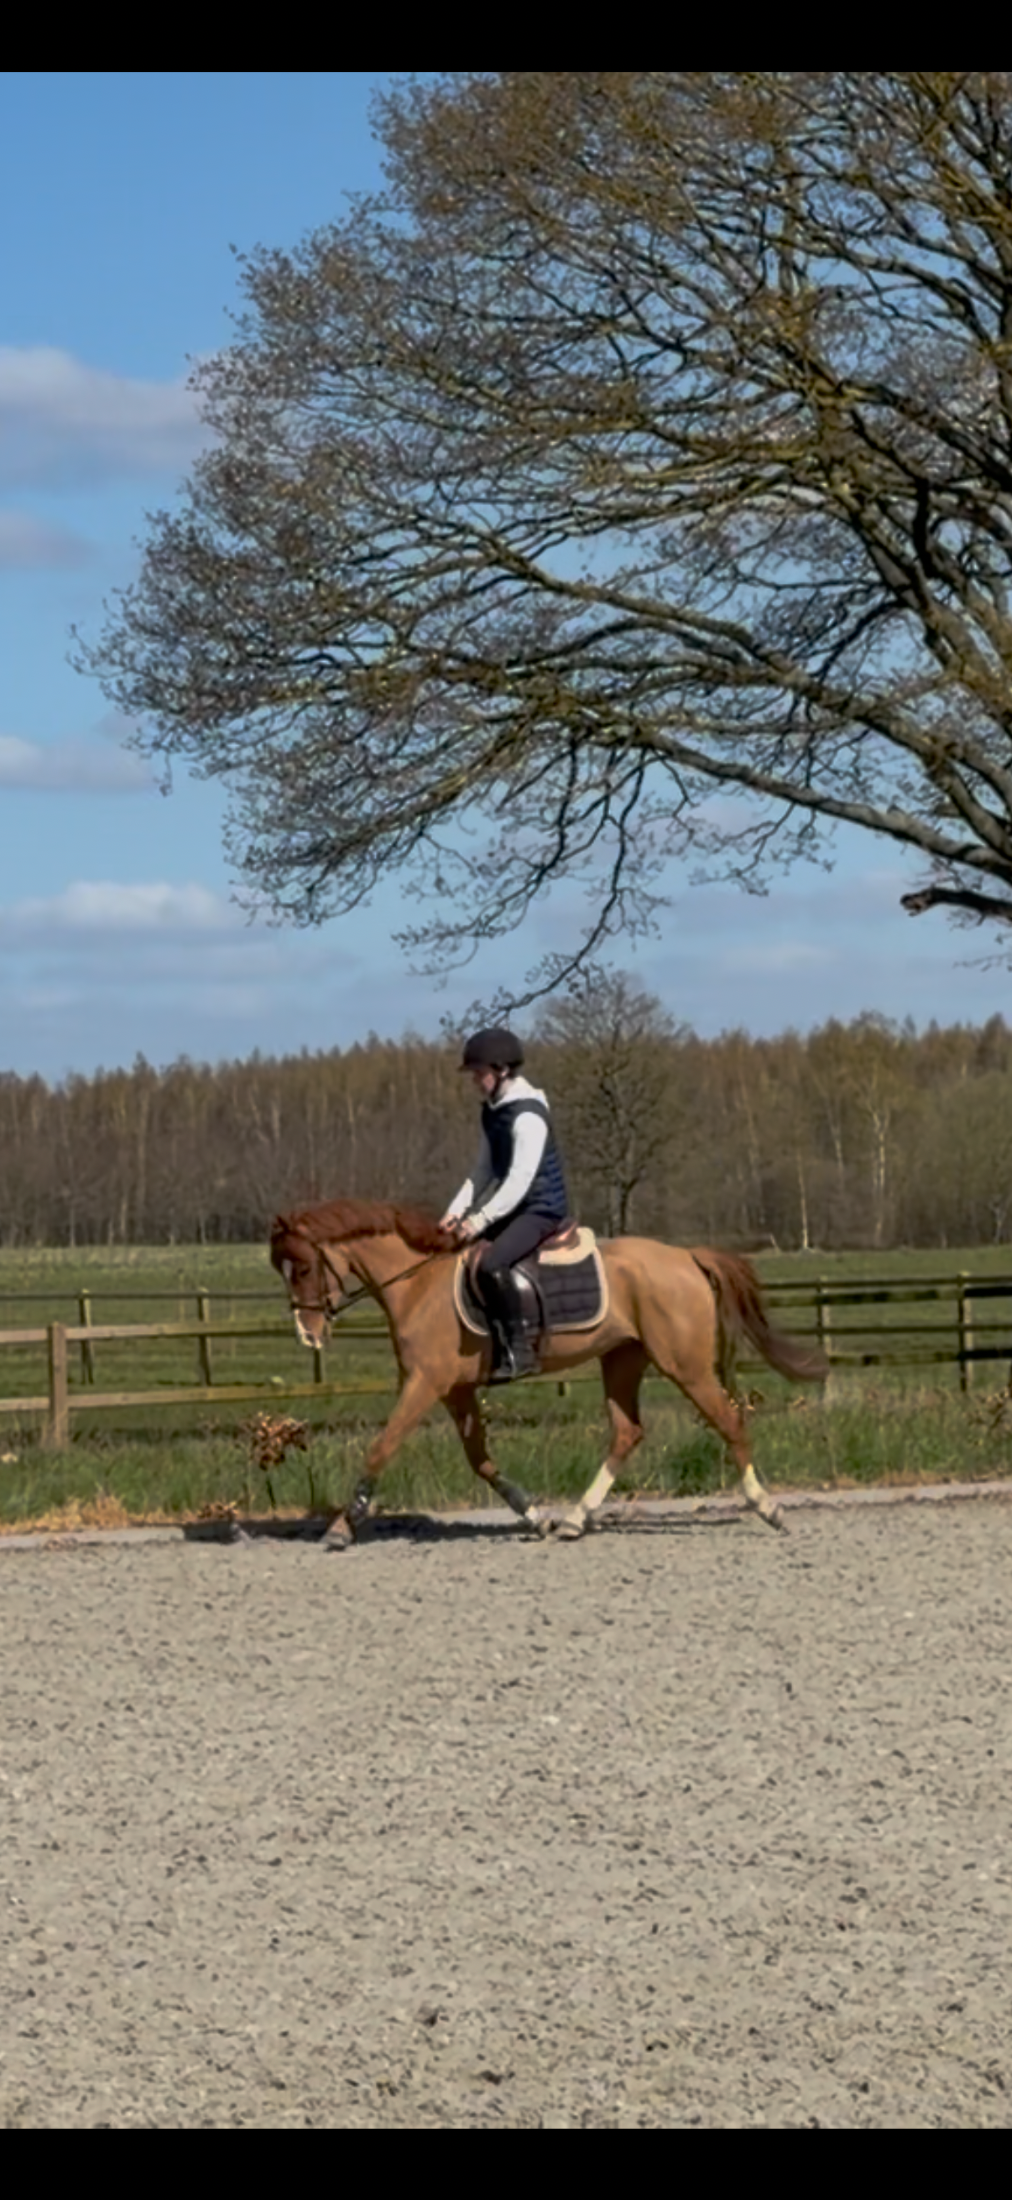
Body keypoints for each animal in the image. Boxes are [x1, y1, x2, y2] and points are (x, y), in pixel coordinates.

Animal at [269, 1198, 827, 1548]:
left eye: (303, 1267)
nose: (308, 1335)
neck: (418, 1283)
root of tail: (687, 1257)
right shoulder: (455, 1390)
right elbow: (479, 1460)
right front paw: (535, 1516)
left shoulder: (425, 1384)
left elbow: (381, 1447)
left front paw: (343, 1525)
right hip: (622, 1358)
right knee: (627, 1432)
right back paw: (575, 1521)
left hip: (684, 1366)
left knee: (729, 1422)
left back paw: (767, 1507)